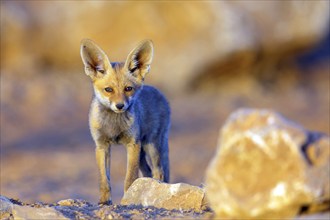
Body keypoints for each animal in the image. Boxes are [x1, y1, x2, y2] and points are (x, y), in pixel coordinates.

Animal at [80, 39, 170, 205]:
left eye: (128, 89)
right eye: (108, 90)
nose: (120, 106)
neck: (114, 126)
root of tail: (160, 93)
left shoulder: (132, 144)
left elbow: (130, 178)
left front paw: (128, 198)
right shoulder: (101, 146)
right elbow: (104, 180)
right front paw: (104, 201)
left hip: (151, 146)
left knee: (159, 172)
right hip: (143, 153)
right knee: (148, 172)